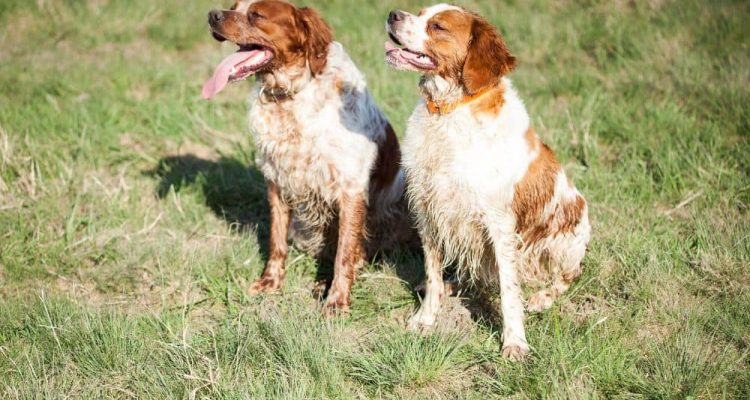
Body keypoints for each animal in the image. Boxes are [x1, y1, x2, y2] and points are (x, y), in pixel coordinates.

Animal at [388, 3, 592, 360]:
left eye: (438, 26)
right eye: (420, 12)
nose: (392, 15)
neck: (449, 111)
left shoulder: (499, 222)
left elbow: (510, 291)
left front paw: (514, 342)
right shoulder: (427, 209)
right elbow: (432, 271)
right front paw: (425, 317)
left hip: (567, 240)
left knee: (566, 275)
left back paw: (541, 297)